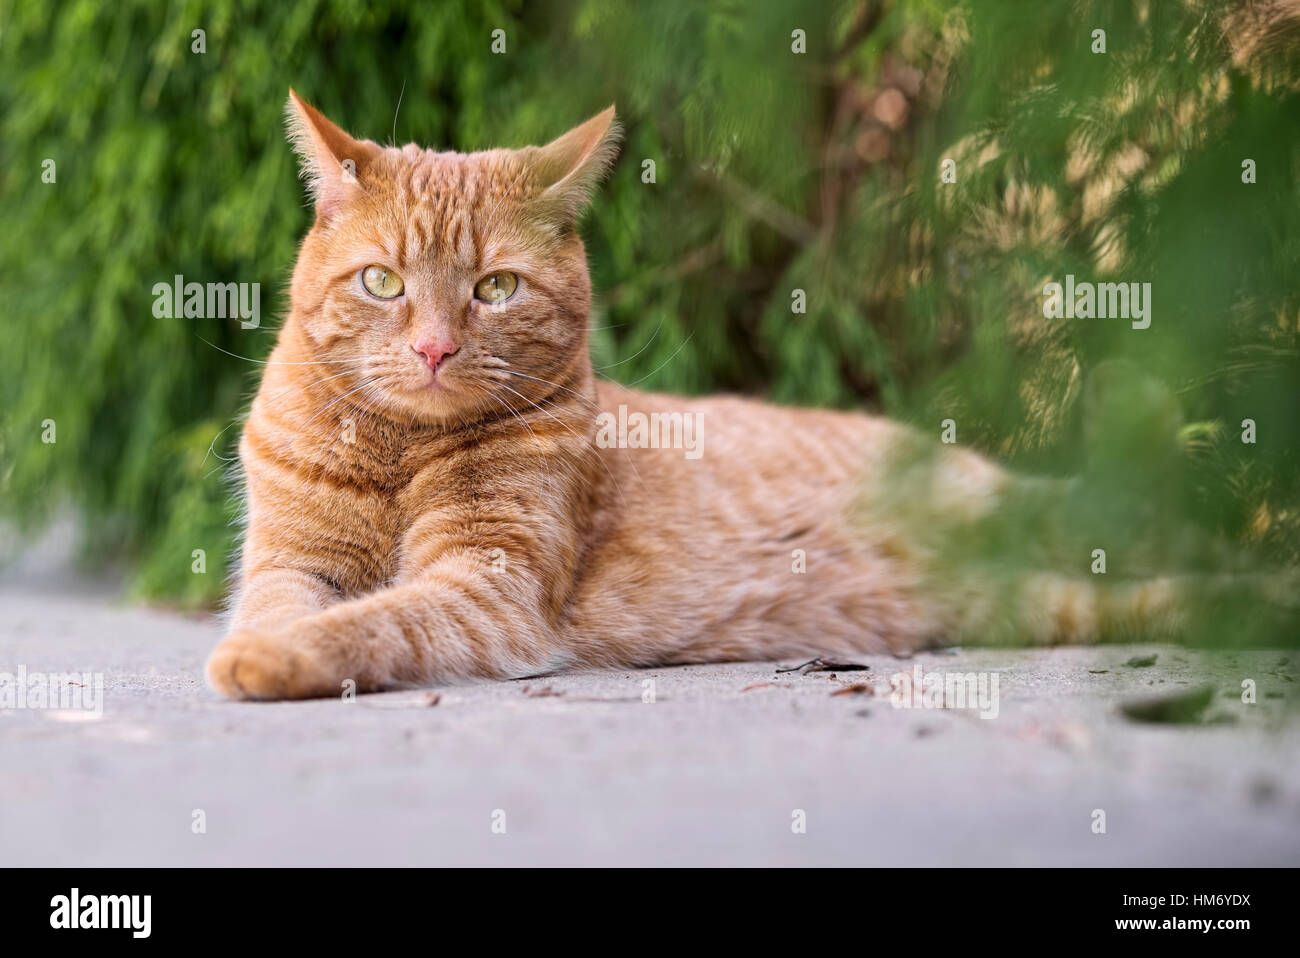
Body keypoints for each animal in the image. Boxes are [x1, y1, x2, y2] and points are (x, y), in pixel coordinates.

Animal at [205, 93, 1279, 696]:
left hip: (1050, 523)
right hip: (1037, 600)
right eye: (382, 282)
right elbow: (280, 607)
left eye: (495, 288)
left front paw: (275, 663)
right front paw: (264, 644)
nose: (433, 348)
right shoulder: (290, 562)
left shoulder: (487, 587)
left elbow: (379, 619)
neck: (399, 452)